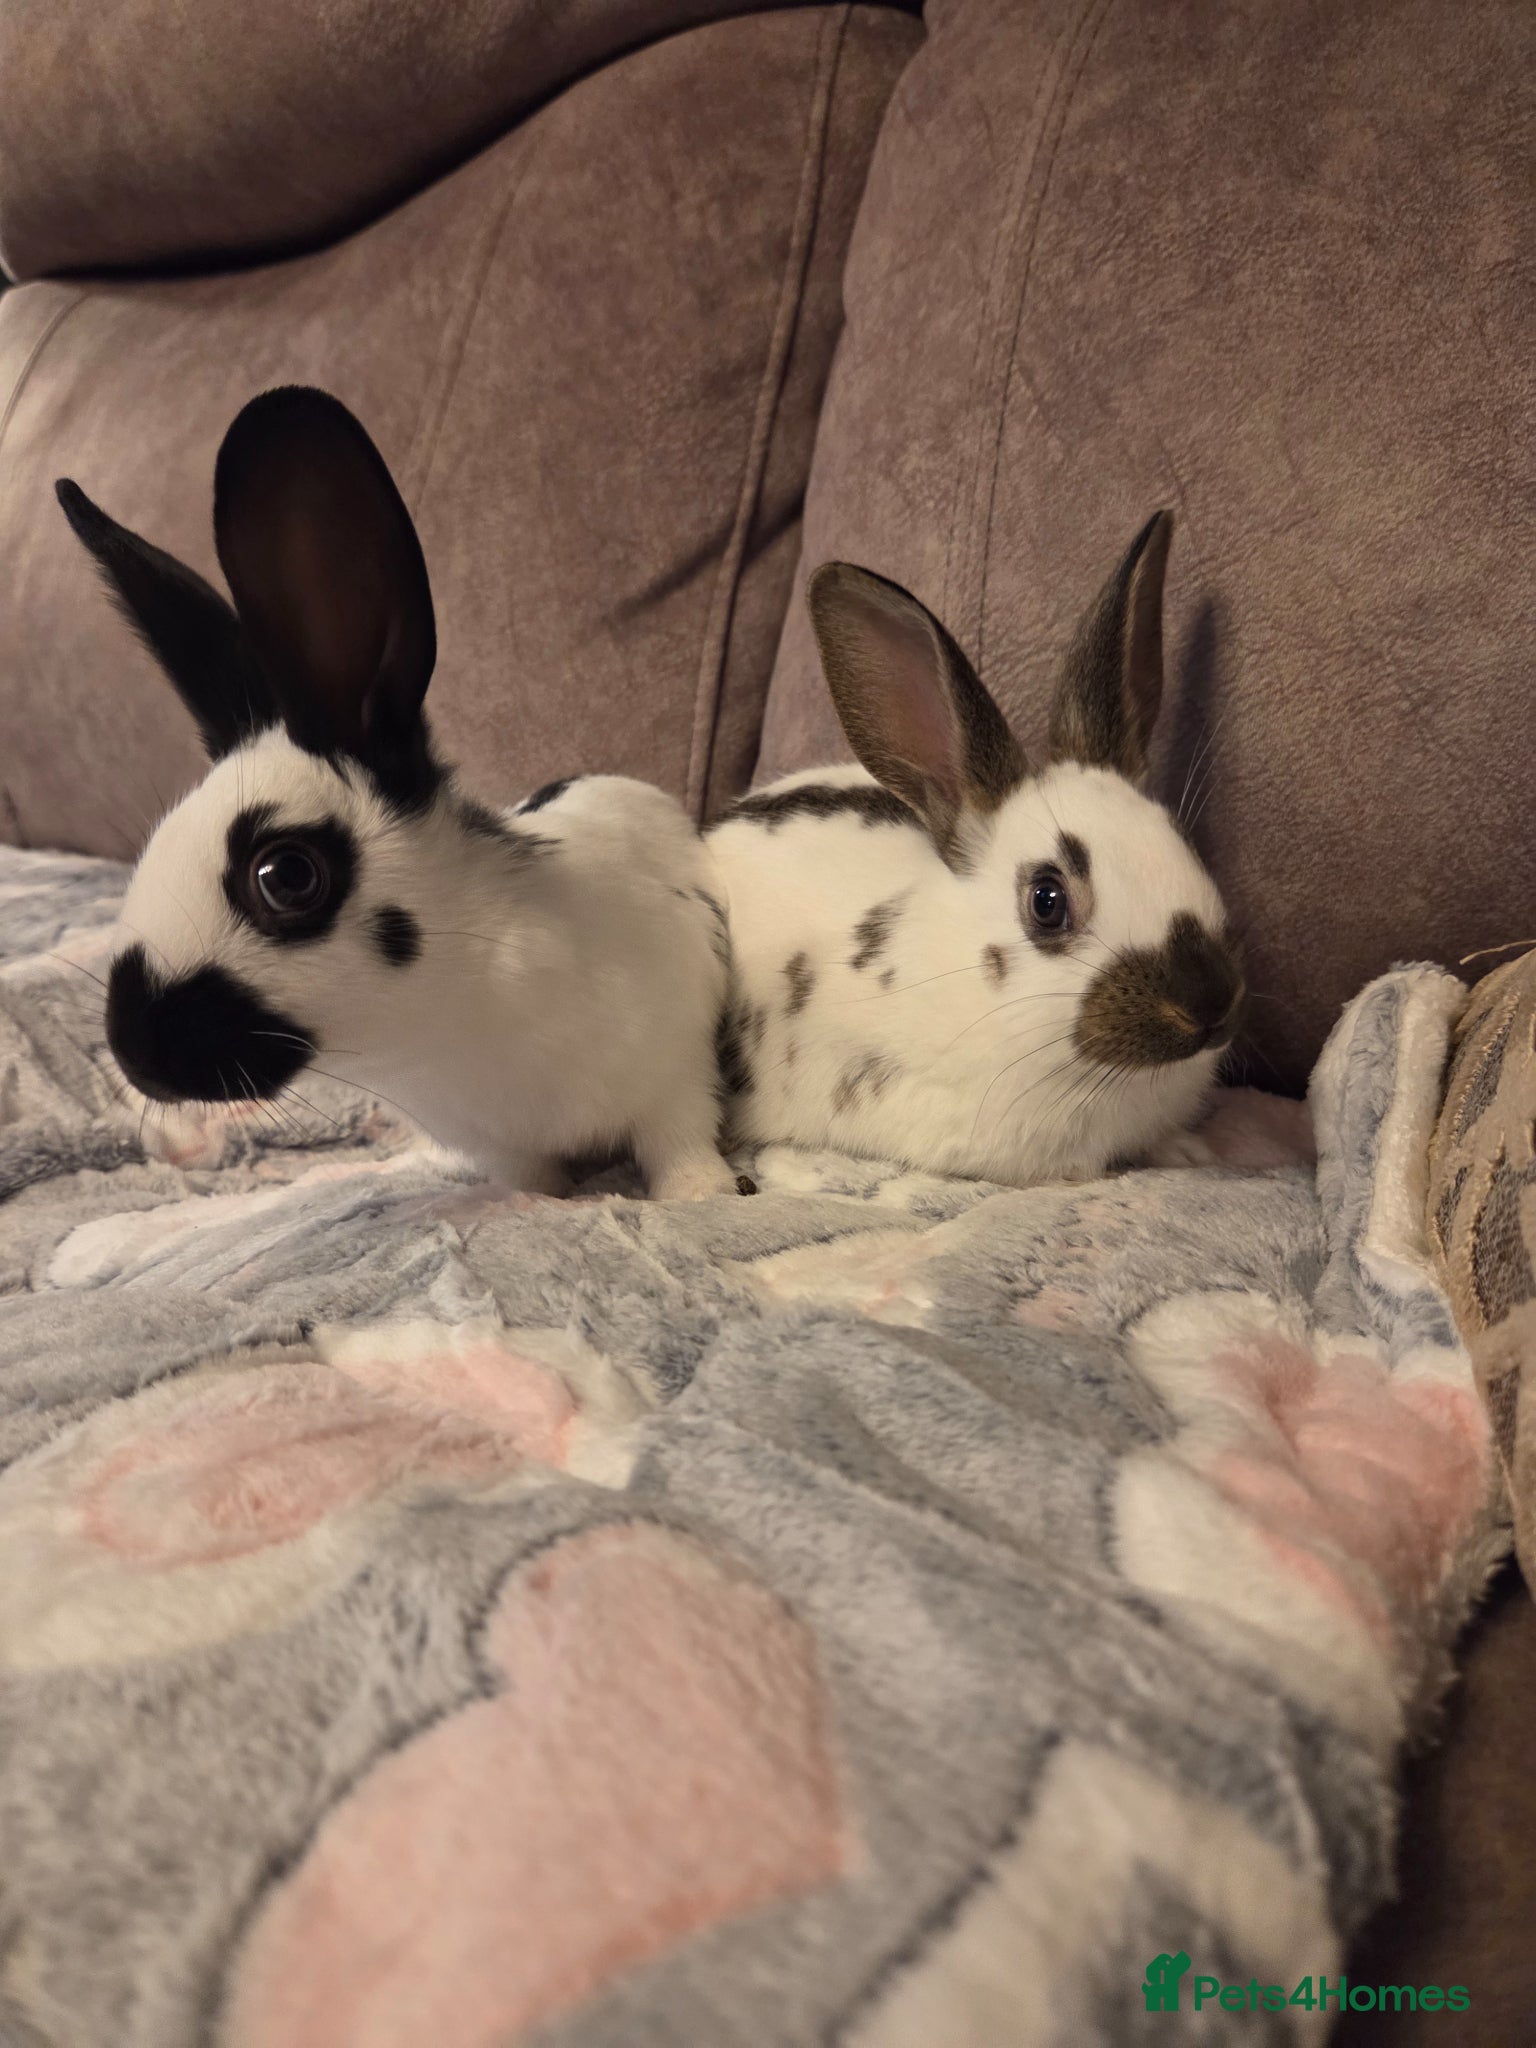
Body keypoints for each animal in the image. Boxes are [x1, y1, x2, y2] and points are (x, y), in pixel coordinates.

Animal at [57, 384, 747, 1201]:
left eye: (285, 875)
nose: (134, 1053)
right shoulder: (506, 1147)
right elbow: (534, 1186)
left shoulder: (677, 1073)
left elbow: (681, 1142)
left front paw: (703, 1196)